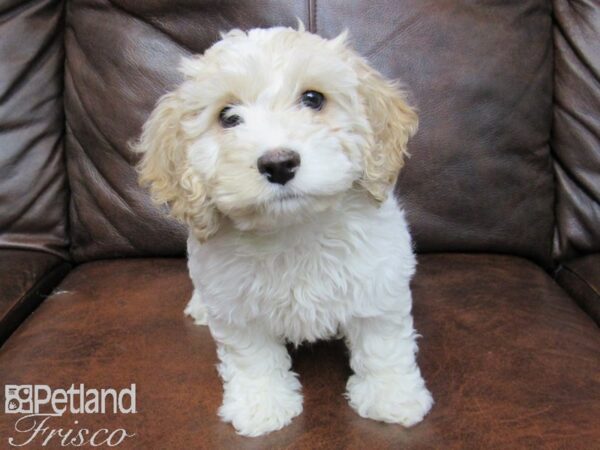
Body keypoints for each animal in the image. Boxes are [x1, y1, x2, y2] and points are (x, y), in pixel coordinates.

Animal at [133, 26, 432, 438]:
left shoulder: (378, 283)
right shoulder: (237, 307)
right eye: (228, 117)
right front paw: (261, 407)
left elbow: (382, 344)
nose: (278, 163)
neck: (294, 230)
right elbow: (253, 358)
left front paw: (392, 397)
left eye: (313, 98)